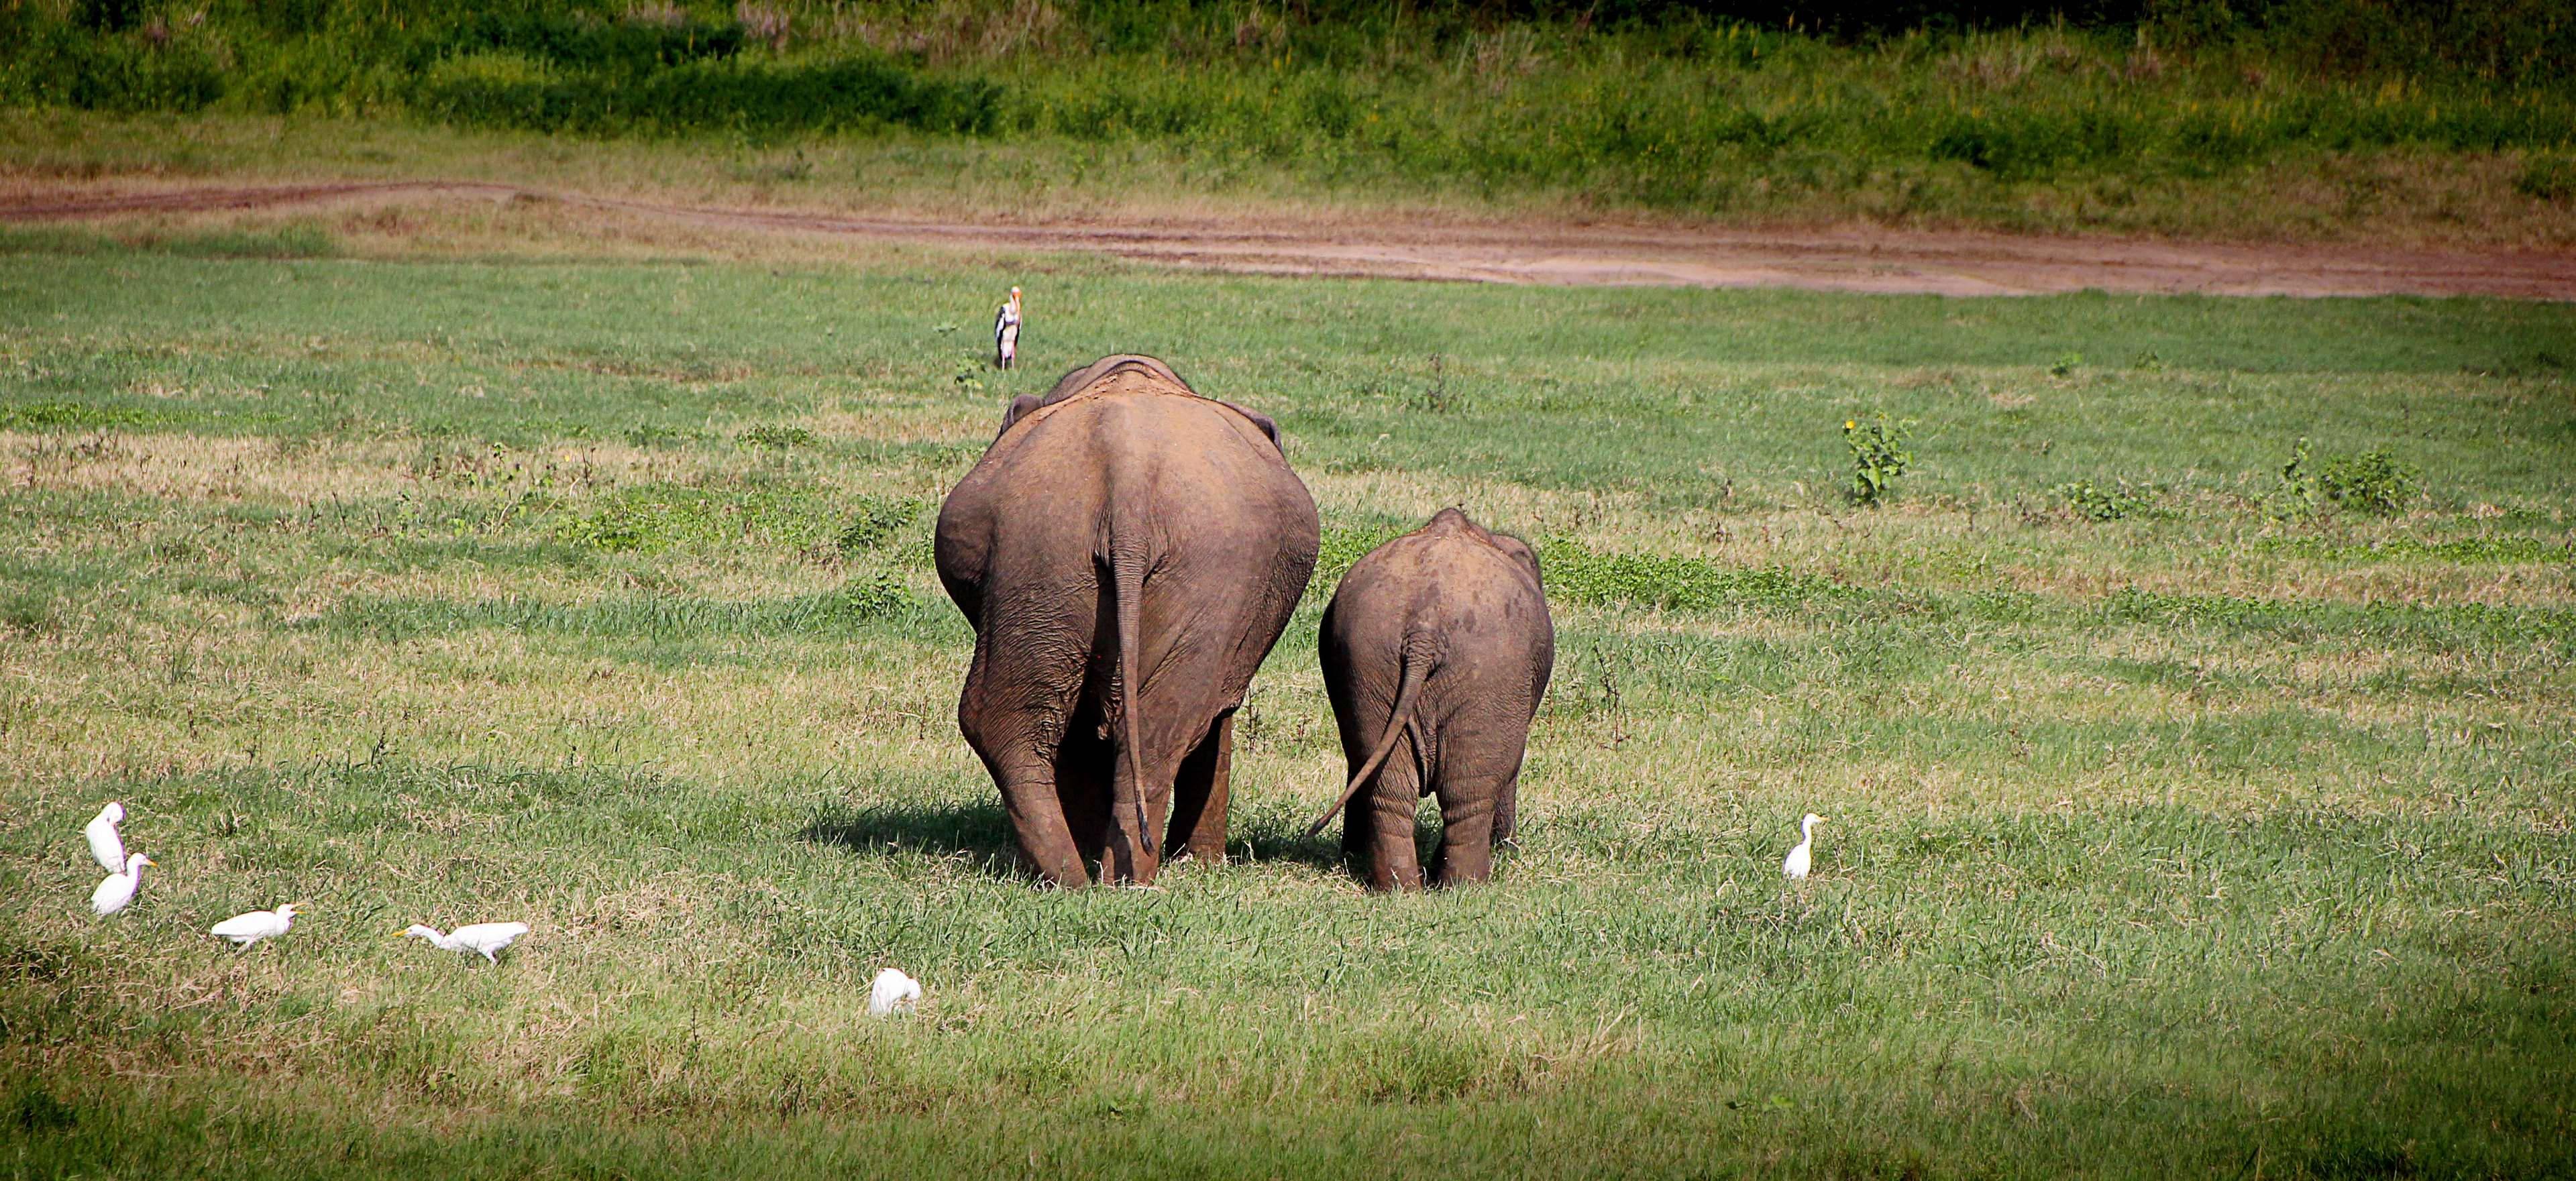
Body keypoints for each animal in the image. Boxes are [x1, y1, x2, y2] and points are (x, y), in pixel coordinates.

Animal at [935, 355, 1320, 886]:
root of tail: (1129, 477)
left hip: (1049, 553)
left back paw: (1085, 876)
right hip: (1089, 557)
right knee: (1156, 721)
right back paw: (1105, 876)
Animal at [1305, 508, 1554, 890]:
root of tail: (1424, 629)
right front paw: (1506, 851)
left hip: (1368, 662)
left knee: (1387, 787)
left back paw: (1399, 888)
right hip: (1493, 672)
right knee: (1467, 793)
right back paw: (1465, 887)